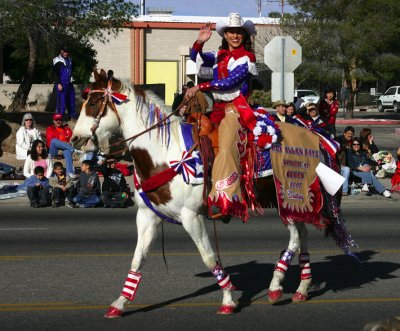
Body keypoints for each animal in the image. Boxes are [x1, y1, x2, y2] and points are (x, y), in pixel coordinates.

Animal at [72, 69, 354, 320]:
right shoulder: (147, 216)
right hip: (292, 202)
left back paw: (275, 286)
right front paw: (119, 303)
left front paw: (228, 299)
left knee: (296, 236)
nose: (75, 139)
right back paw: (301, 288)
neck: (164, 153)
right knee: (303, 235)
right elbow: (136, 260)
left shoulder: (191, 217)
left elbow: (208, 257)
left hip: (288, 197)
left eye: (94, 103)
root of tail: (317, 137)